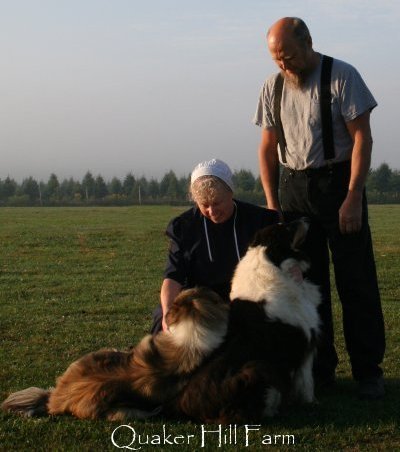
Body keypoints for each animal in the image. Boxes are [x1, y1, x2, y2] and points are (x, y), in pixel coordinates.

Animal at [173, 219, 320, 424]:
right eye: (286, 228)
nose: (306, 218)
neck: (271, 260)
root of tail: (185, 405)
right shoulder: (305, 342)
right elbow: (307, 383)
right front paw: (312, 404)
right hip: (257, 370)